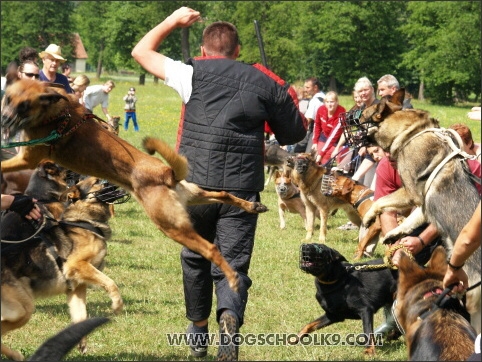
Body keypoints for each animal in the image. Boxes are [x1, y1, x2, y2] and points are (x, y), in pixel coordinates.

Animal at [0, 79, 270, 292]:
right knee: (224, 194)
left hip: (171, 226)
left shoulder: (28, 157)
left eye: (23, 105)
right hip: (192, 197)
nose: (4, 119)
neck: (60, 114)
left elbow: (4, 163)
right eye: (8, 98)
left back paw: (233, 279)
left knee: (212, 248)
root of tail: (166, 172)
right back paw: (253, 207)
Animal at [0, 177, 124, 360]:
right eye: (97, 181)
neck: (85, 222)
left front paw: (79, 339)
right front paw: (117, 305)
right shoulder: (77, 264)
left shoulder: (77, 288)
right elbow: (111, 283)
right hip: (22, 309)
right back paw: (16, 355)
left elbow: (81, 315)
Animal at [360, 89, 480, 332]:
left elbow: (380, 201)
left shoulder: (410, 193)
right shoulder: (421, 202)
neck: (409, 133)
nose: (352, 118)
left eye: (363, 115)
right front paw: (395, 234)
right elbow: (411, 219)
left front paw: (368, 218)